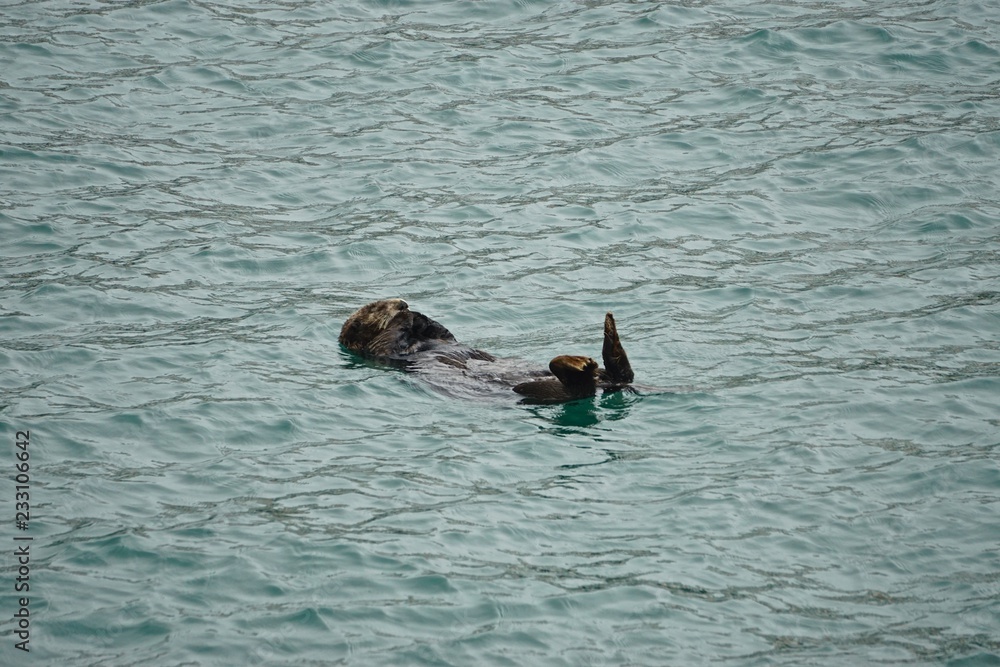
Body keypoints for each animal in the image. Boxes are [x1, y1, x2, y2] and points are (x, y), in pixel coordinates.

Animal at [339, 299, 636, 403]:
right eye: (377, 307)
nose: (402, 303)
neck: (417, 341)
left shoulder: (440, 337)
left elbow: (443, 333)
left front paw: (419, 315)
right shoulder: (382, 350)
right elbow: (389, 337)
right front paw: (403, 316)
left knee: (621, 374)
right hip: (534, 391)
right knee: (579, 389)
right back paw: (581, 363)